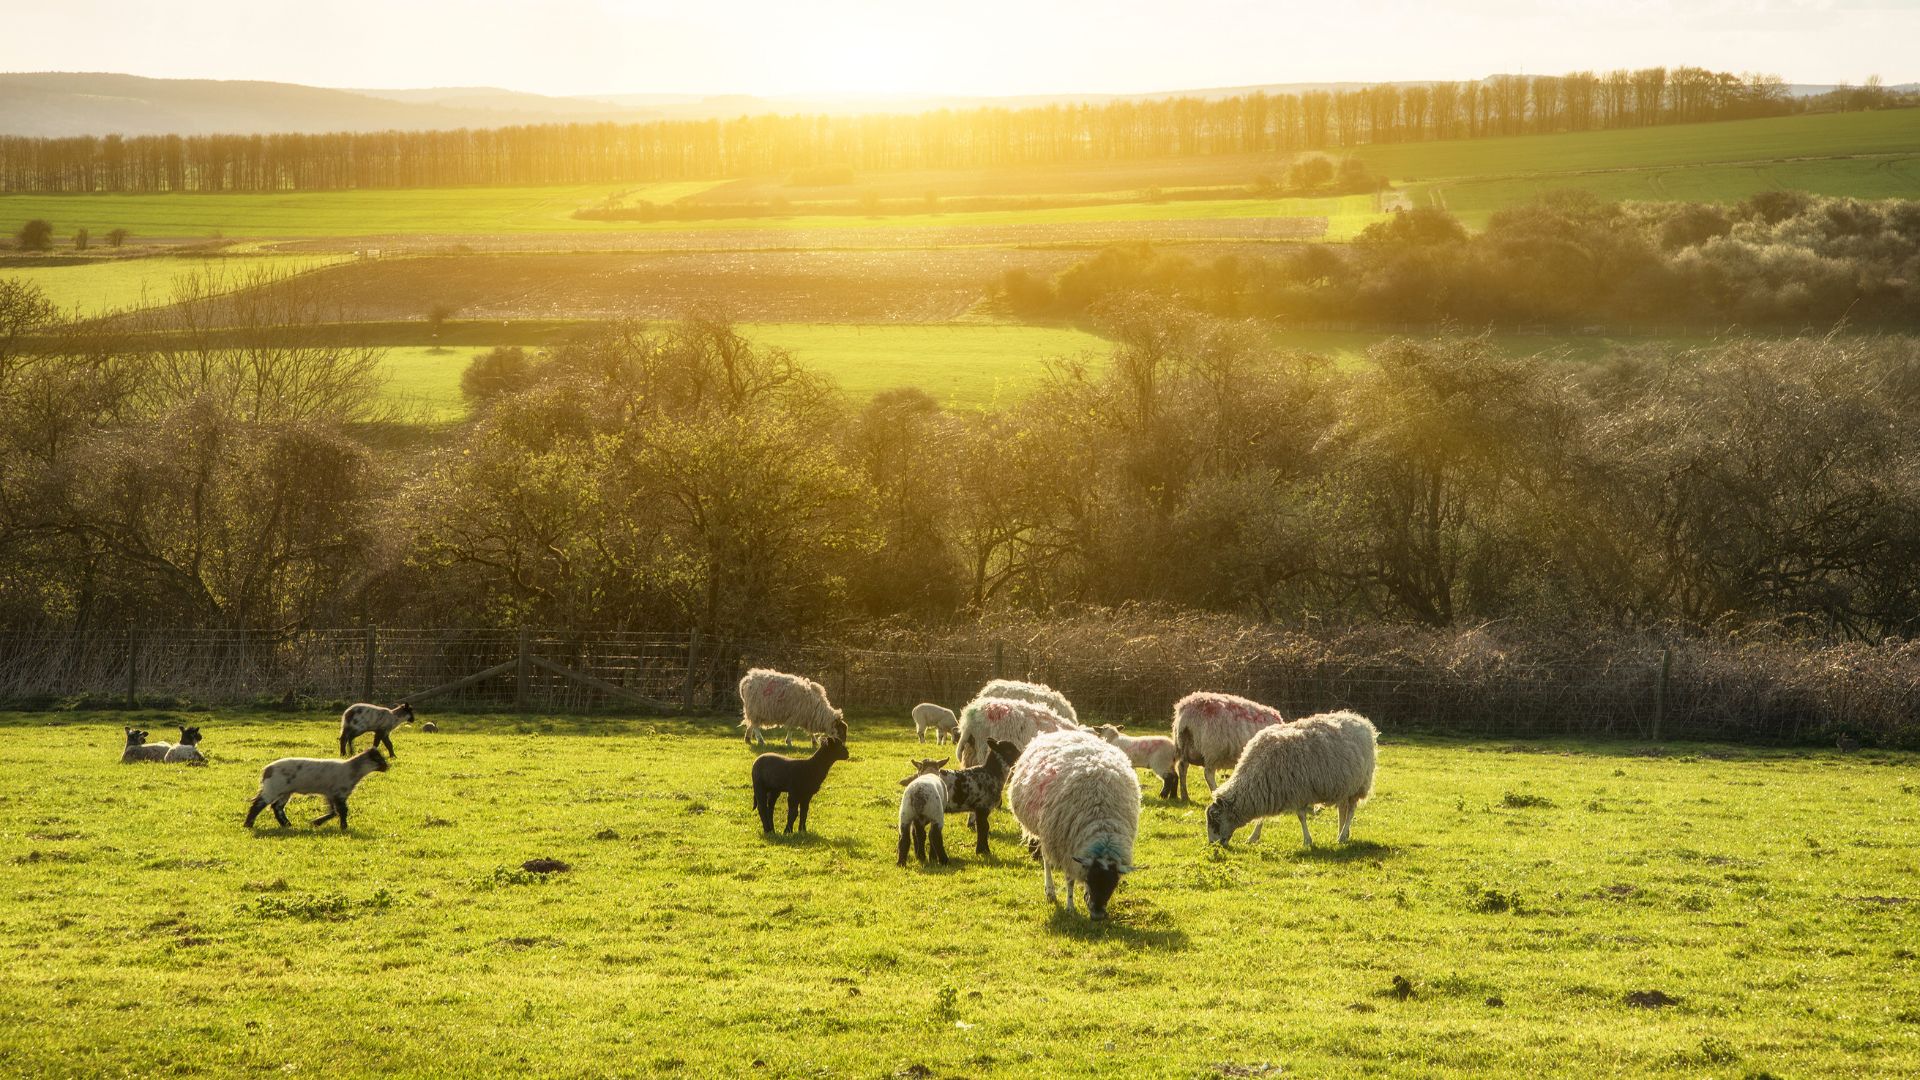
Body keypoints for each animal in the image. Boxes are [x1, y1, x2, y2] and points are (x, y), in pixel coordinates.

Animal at [244, 747, 390, 831]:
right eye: (379, 759)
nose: (388, 767)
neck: (353, 771)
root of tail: (266, 770)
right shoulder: (340, 792)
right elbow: (342, 811)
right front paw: (344, 827)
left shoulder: (330, 794)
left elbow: (333, 812)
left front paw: (316, 822)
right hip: (273, 788)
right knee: (258, 805)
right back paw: (248, 824)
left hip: (285, 792)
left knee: (277, 807)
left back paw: (287, 825)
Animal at [1007, 729, 1140, 920]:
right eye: (1092, 878)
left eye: (1113, 884)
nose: (1098, 916)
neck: (1102, 823)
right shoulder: (1065, 847)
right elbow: (1069, 880)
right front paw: (1070, 907)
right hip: (1046, 834)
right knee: (1047, 860)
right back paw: (1050, 891)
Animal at [1205, 710, 1378, 848]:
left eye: (1215, 818)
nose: (1212, 844)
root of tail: (1361, 721)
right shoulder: (1269, 790)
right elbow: (1262, 817)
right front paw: (1253, 837)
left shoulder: (1298, 792)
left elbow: (1301, 817)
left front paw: (1307, 841)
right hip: (1345, 785)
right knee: (1343, 808)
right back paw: (1343, 833)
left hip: (1359, 784)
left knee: (1351, 810)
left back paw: (1342, 836)